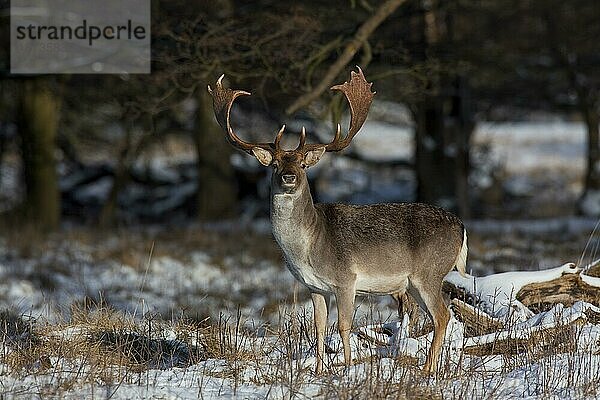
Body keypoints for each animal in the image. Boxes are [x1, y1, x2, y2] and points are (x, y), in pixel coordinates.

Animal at [209, 67, 466, 374]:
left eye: (303, 165)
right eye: (274, 165)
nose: (289, 177)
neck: (309, 246)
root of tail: (461, 227)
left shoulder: (346, 279)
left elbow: (344, 326)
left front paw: (347, 368)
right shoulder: (314, 286)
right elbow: (319, 326)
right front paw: (320, 369)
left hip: (429, 272)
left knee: (442, 315)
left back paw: (428, 370)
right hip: (414, 284)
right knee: (439, 316)